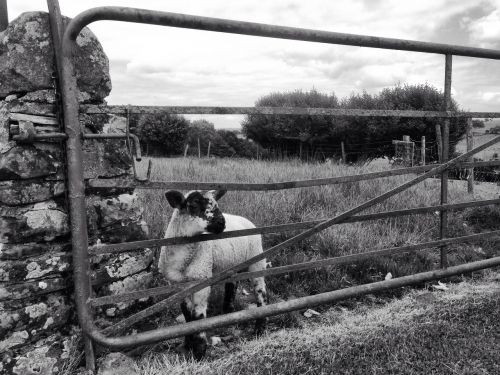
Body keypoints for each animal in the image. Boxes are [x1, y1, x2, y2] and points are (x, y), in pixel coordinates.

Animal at [160, 189, 270, 360]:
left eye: (216, 203)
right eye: (193, 205)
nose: (222, 222)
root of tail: (245, 219)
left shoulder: (201, 280)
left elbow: (198, 317)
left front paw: (199, 353)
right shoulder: (178, 285)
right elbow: (187, 314)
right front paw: (186, 346)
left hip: (257, 258)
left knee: (261, 292)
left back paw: (259, 329)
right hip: (233, 263)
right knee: (232, 284)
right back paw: (228, 312)